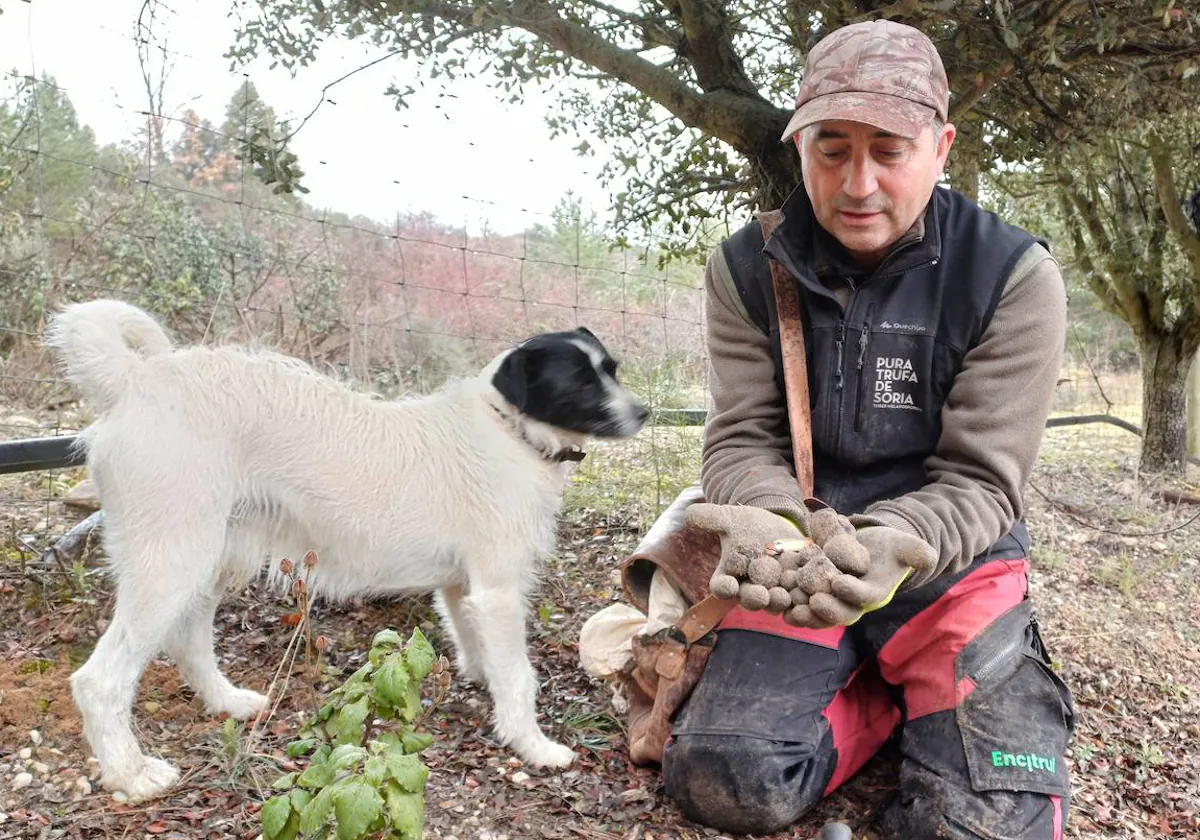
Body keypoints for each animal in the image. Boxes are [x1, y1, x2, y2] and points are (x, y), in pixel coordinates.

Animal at [44, 298, 648, 796]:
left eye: (611, 371)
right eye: (580, 383)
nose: (644, 412)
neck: (510, 430)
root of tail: (138, 380)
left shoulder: (463, 587)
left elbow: (474, 642)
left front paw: (481, 682)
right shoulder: (499, 592)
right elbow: (519, 677)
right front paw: (533, 746)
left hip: (210, 560)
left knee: (188, 638)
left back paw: (228, 703)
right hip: (171, 562)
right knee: (100, 680)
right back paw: (131, 774)